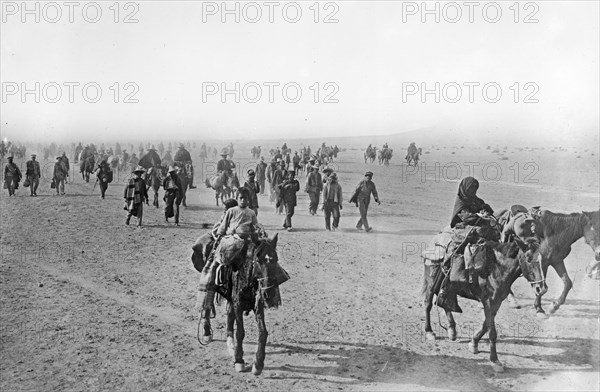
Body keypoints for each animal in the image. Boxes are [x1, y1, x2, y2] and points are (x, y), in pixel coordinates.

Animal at [422, 237, 548, 372]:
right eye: (528, 259)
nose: (541, 288)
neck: (496, 269)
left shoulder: (496, 302)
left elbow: (485, 325)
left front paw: (473, 343)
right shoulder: (489, 302)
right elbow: (492, 332)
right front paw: (495, 360)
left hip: (448, 287)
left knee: (445, 302)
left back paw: (452, 330)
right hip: (431, 283)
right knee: (428, 304)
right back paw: (429, 331)